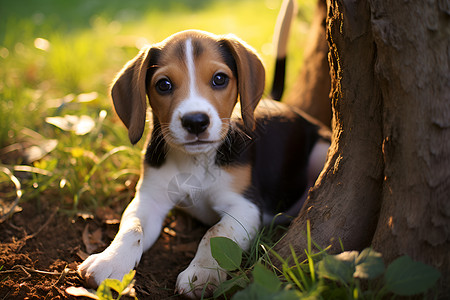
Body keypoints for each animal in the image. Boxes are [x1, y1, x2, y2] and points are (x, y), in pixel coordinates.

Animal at [77, 29, 330, 296]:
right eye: (163, 84)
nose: (195, 121)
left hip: (321, 151)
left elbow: (215, 233)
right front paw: (111, 261)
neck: (196, 161)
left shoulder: (245, 207)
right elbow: (132, 228)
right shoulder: (150, 199)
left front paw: (201, 274)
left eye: (219, 79)